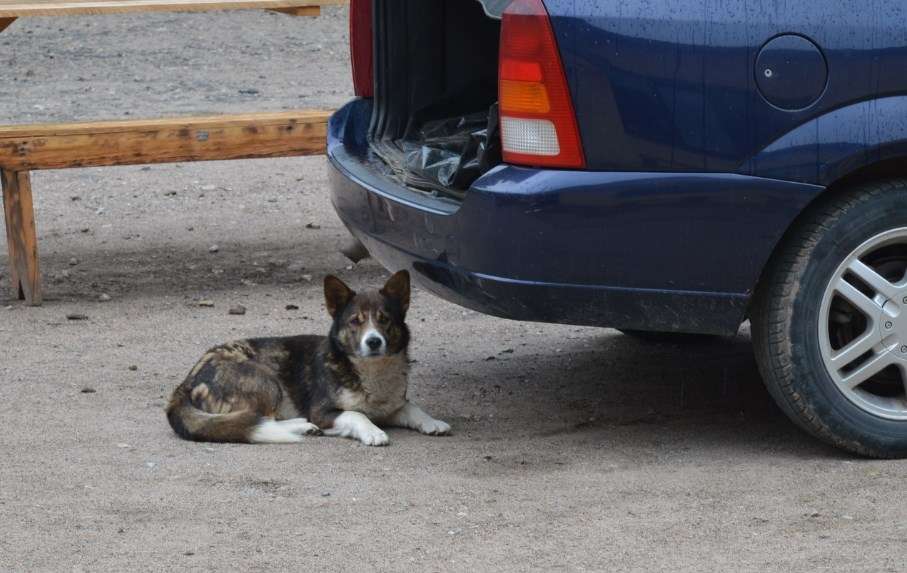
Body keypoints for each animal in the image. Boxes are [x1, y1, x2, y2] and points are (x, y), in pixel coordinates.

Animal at [166, 270, 450, 444]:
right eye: (355, 321)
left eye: (384, 320)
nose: (373, 341)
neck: (371, 371)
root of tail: (185, 384)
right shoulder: (323, 412)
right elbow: (356, 415)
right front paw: (373, 431)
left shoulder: (391, 407)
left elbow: (411, 408)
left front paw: (432, 422)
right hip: (266, 381)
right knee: (260, 420)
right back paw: (301, 426)